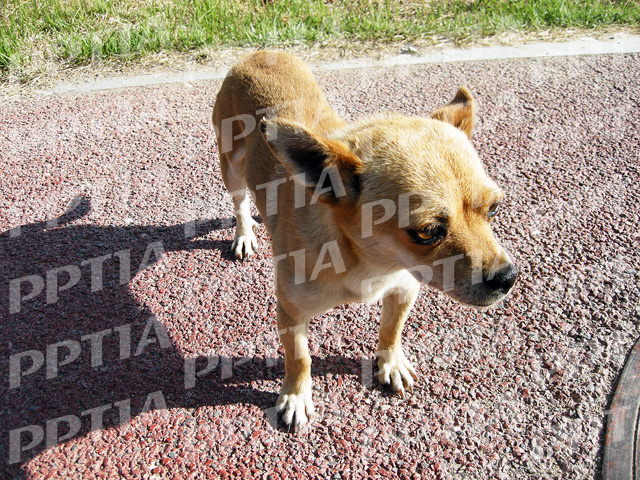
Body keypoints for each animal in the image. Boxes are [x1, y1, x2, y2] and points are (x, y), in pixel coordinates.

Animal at [212, 51, 516, 428]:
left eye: (494, 209)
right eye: (428, 232)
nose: (508, 277)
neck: (372, 263)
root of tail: (260, 53)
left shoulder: (404, 288)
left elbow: (391, 329)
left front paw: (390, 363)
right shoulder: (290, 312)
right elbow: (299, 358)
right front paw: (296, 396)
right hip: (231, 166)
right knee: (239, 202)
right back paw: (244, 235)